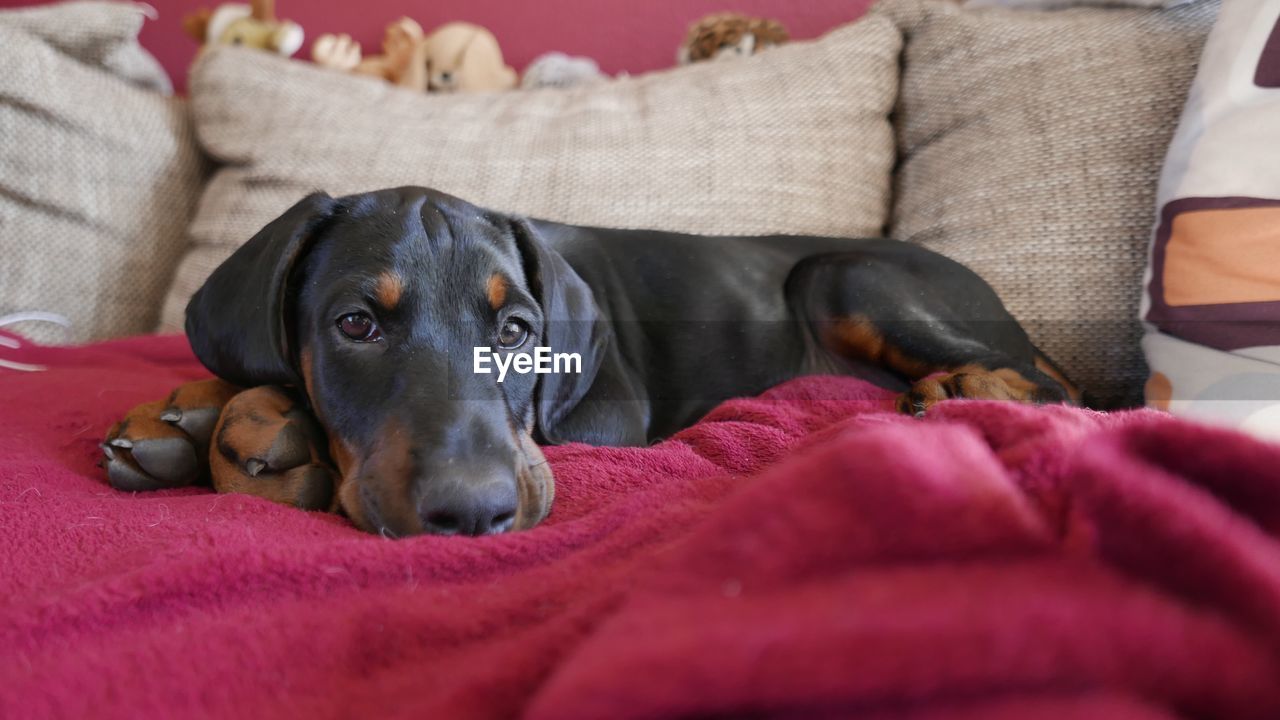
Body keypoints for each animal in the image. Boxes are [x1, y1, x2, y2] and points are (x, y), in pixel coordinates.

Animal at [102, 184, 1080, 532]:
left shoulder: (608, 412)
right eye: (355, 325)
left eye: (517, 331)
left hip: (843, 274)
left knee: (1054, 381)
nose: (474, 512)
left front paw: (262, 424)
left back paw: (967, 384)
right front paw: (181, 414)